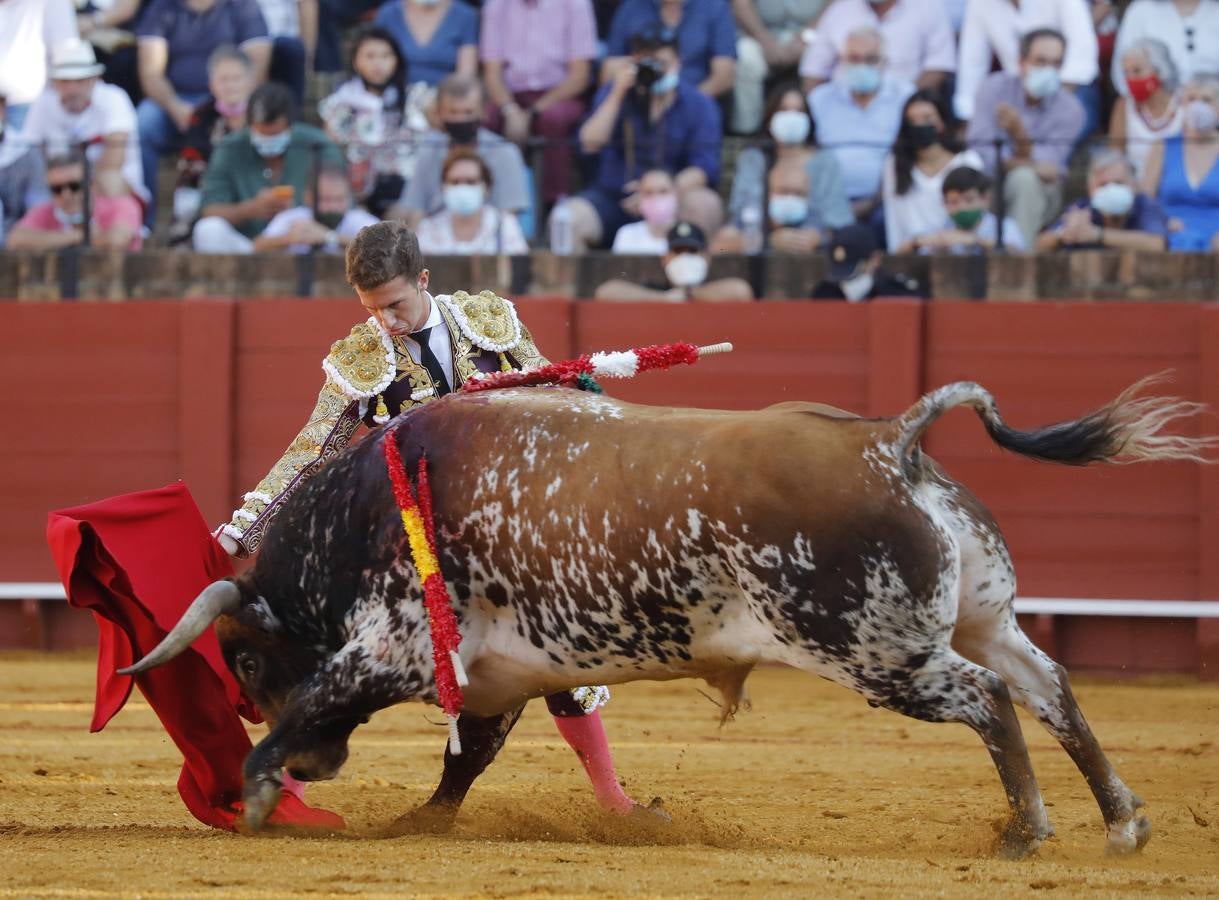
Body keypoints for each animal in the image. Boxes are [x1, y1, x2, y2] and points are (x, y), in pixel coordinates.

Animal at [121, 375, 1209, 853]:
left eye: (245, 663)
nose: (314, 767)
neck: (365, 508)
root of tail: (887, 442)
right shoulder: (502, 673)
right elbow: (469, 757)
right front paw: (416, 822)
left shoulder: (391, 647)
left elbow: (335, 699)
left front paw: (260, 792)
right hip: (983, 618)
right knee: (1049, 689)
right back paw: (1119, 820)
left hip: (879, 653)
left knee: (989, 701)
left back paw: (1025, 830)